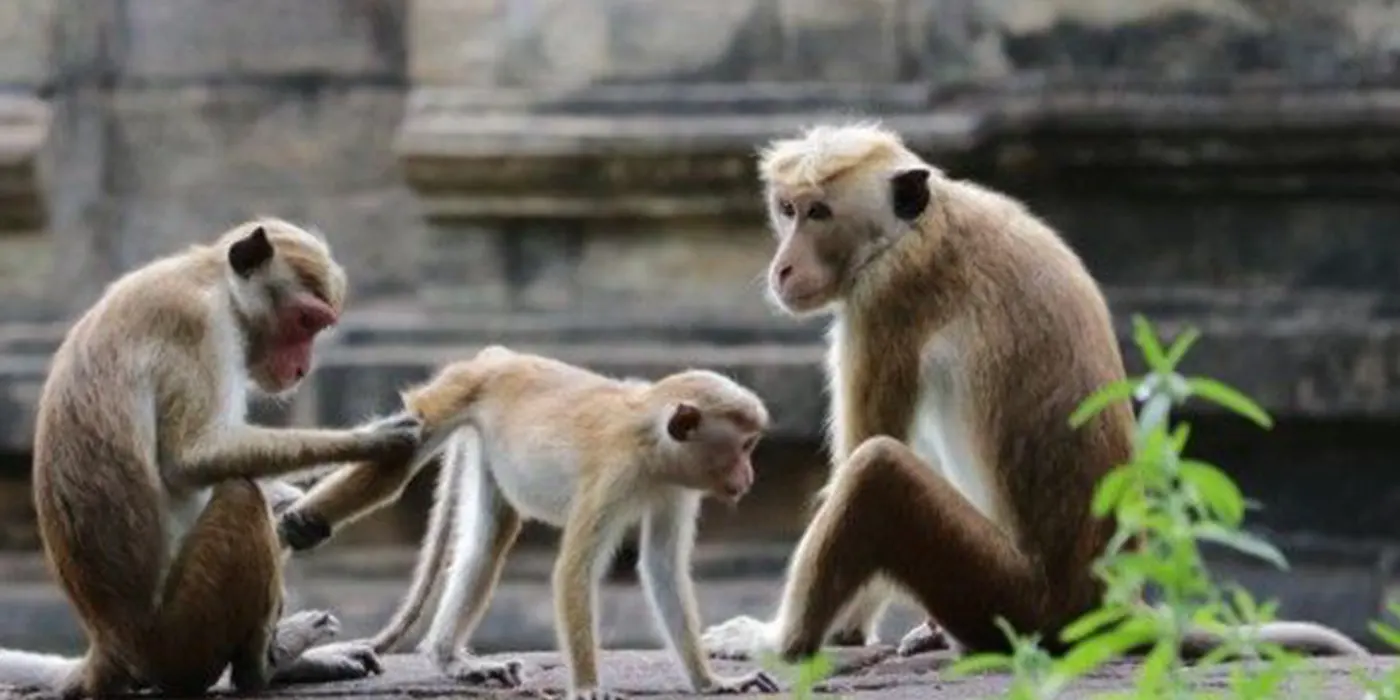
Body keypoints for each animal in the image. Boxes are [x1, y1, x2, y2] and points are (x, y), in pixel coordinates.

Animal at [1, 218, 425, 700]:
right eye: (305, 321)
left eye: (317, 326)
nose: (301, 369)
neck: (212, 280)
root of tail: (110, 644)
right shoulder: (198, 325)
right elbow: (191, 457)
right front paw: (372, 438)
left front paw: (294, 505)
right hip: (182, 635)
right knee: (241, 495)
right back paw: (265, 667)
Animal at [281, 348, 789, 700]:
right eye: (743, 446)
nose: (748, 476)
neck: (652, 444)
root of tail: (497, 358)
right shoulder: (615, 475)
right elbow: (575, 571)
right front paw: (587, 686)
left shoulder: (676, 487)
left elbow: (662, 569)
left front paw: (712, 681)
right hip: (454, 391)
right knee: (398, 459)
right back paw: (303, 522)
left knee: (489, 539)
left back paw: (450, 659)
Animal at [700, 124, 1366, 666]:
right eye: (786, 210)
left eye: (817, 213)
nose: (783, 267)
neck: (915, 226)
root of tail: (1107, 604)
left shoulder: (885, 299)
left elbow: (865, 449)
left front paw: (822, 635)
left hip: (1015, 599)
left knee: (878, 472)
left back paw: (785, 641)